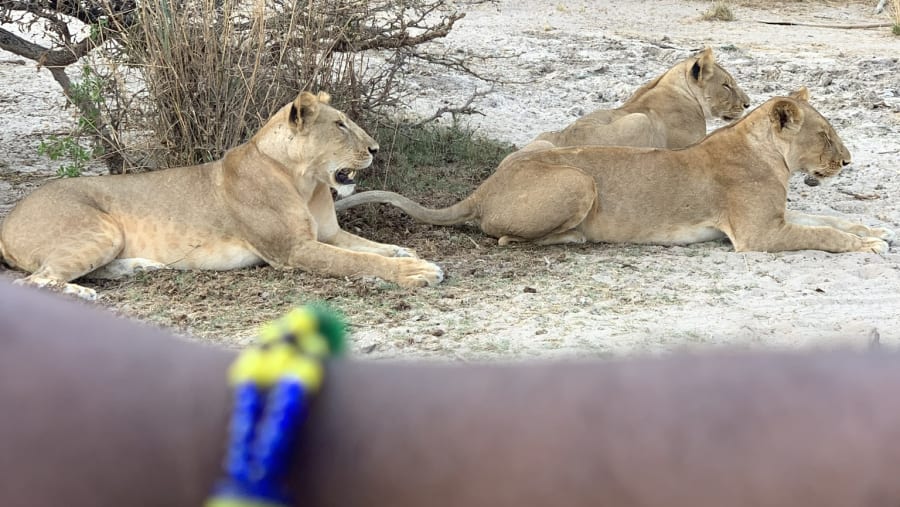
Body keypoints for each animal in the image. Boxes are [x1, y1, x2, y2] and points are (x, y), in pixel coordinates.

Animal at [0, 91, 444, 300]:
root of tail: (9, 217)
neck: (304, 180)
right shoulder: (292, 250)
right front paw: (417, 271)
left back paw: (138, 269)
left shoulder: (328, 234)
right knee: (38, 280)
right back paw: (84, 293)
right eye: (340, 126)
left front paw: (406, 253)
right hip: (100, 229)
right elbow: (358, 260)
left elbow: (371, 247)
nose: (375, 149)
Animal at [335, 87, 894, 254]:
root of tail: (484, 187)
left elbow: (831, 220)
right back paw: (577, 238)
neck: (769, 156)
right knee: (505, 237)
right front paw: (867, 244)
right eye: (824, 135)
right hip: (578, 179)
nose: (847, 162)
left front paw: (875, 230)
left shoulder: (775, 219)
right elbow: (824, 233)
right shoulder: (757, 235)